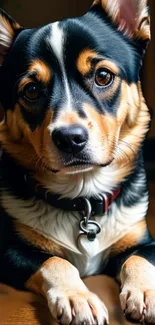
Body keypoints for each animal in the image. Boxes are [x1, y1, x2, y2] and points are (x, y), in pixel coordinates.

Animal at [0, 0, 154, 322]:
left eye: (103, 76)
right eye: (31, 90)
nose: (70, 138)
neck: (82, 197)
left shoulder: (143, 241)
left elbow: (138, 260)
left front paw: (146, 292)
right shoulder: (10, 252)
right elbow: (56, 262)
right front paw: (78, 299)